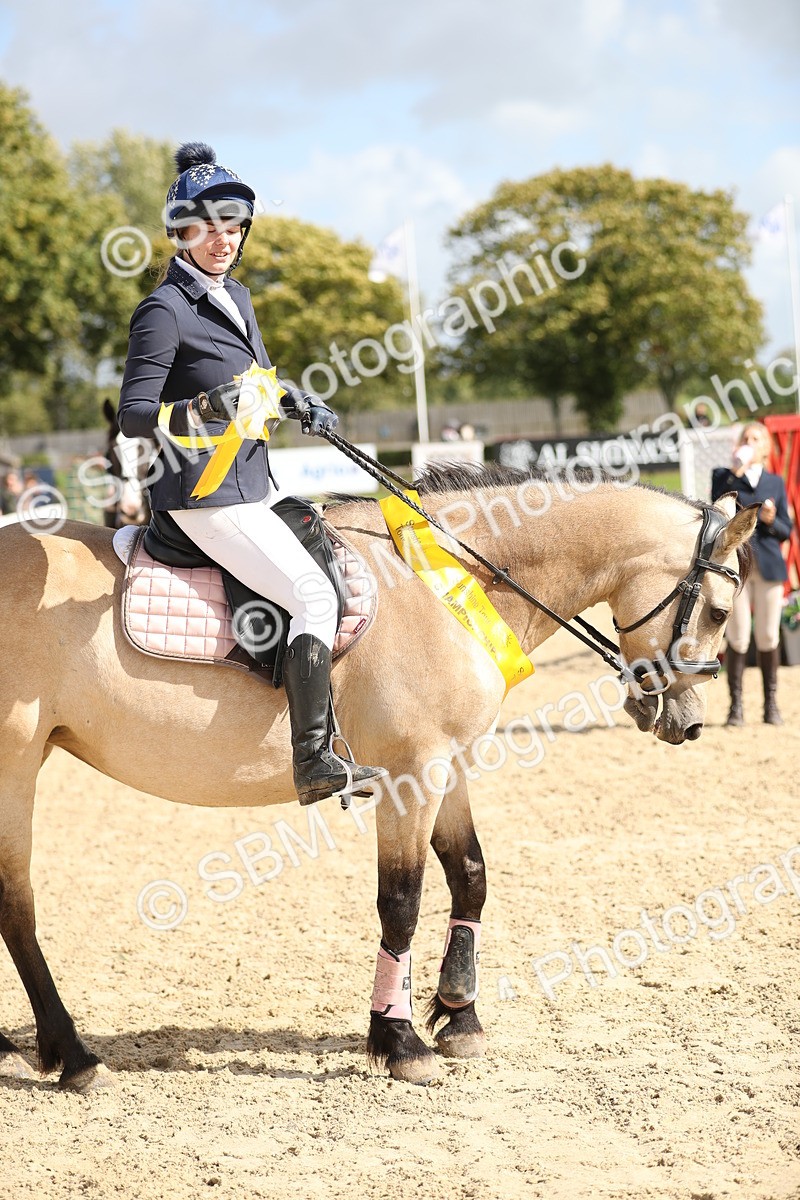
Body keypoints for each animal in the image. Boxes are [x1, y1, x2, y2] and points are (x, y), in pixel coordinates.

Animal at [0, 463, 756, 1093]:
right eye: (720, 612)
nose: (688, 723)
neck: (452, 579)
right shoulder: (410, 772)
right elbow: (403, 902)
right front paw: (399, 1041)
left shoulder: (447, 765)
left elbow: (470, 876)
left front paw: (458, 1014)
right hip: (14, 768)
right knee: (17, 906)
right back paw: (74, 1057)